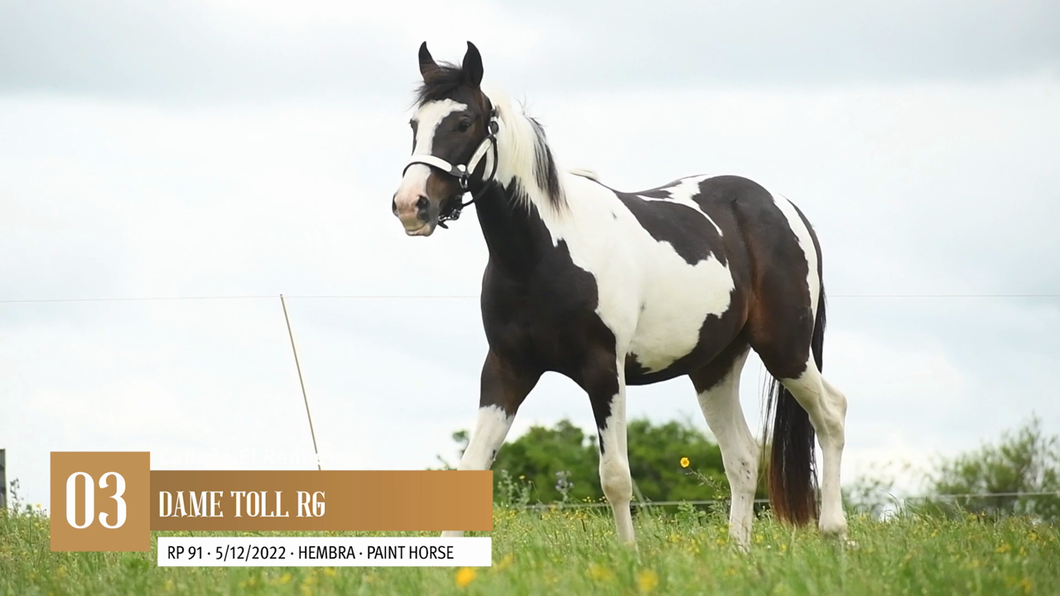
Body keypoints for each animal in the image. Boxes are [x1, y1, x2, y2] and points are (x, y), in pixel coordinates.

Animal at [394, 39, 847, 547]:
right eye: (415, 125)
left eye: (463, 122)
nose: (410, 206)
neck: (545, 253)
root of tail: (783, 207)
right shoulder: (506, 369)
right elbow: (472, 465)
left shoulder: (604, 373)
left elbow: (615, 477)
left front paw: (628, 553)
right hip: (715, 368)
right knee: (744, 458)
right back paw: (739, 551)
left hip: (786, 349)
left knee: (831, 415)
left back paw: (835, 532)